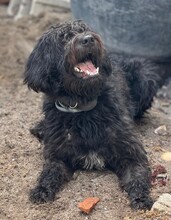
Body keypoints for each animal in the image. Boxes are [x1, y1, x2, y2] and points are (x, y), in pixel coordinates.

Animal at [23, 20, 162, 210]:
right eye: (63, 38)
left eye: (86, 30)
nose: (88, 39)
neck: (82, 108)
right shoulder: (57, 155)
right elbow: (50, 171)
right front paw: (42, 189)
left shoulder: (131, 153)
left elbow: (137, 175)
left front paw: (141, 198)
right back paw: (40, 128)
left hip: (144, 75)